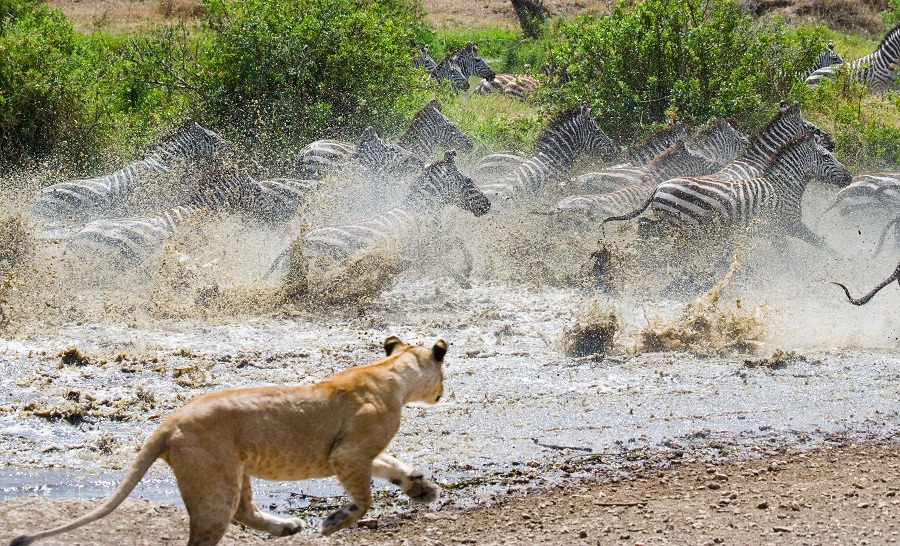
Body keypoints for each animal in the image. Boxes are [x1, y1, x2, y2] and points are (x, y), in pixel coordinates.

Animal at [302, 150, 488, 264]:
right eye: (469, 181)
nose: (488, 204)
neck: (423, 209)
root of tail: (304, 239)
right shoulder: (431, 241)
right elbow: (459, 242)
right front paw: (467, 270)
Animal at [604, 131, 852, 243]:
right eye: (826, 156)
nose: (849, 176)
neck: (783, 187)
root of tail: (658, 187)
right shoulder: (788, 224)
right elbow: (821, 244)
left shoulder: (776, 231)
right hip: (677, 223)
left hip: (670, 222)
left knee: (644, 226)